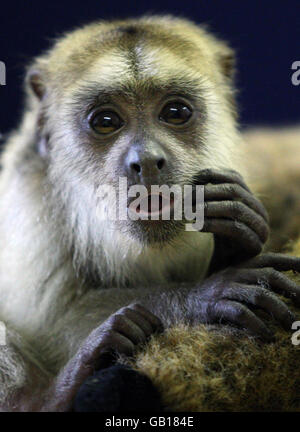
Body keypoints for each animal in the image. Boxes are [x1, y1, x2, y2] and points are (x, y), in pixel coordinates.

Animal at [0, 15, 298, 410]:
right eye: (106, 121)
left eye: (176, 112)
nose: (145, 160)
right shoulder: (29, 197)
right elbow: (49, 324)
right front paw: (203, 294)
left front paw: (236, 240)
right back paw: (48, 397)